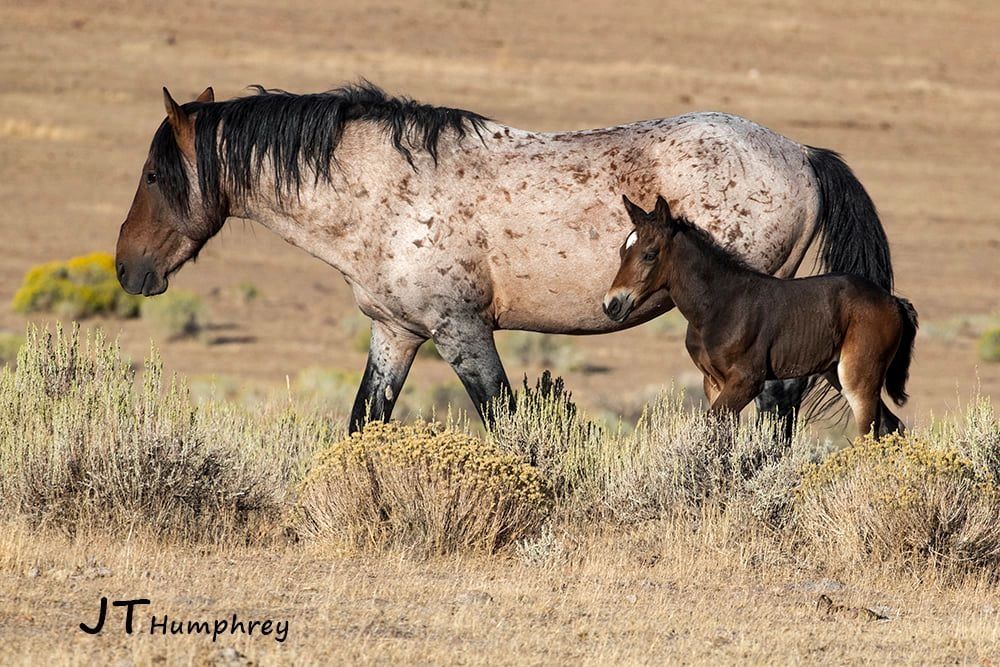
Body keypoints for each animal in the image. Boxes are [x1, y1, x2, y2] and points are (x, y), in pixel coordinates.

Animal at [603, 195, 917, 436]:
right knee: (891, 425)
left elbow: (710, 426)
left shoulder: (747, 380)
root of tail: (892, 301)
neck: (717, 306)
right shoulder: (713, 382)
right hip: (836, 373)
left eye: (650, 254)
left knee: (869, 433)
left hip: (858, 377)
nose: (612, 304)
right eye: (621, 251)